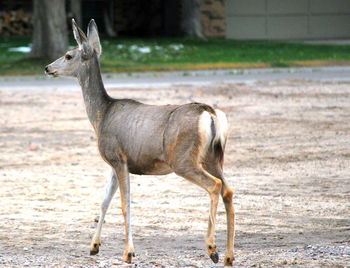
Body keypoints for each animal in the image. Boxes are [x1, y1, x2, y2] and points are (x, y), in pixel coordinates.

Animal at [44, 19, 235, 266]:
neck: (102, 115)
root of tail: (210, 113)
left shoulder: (118, 158)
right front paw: (94, 247)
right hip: (214, 157)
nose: (47, 68)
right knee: (228, 190)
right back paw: (229, 256)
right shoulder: (115, 163)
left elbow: (125, 204)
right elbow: (104, 201)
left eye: (68, 55)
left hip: (183, 158)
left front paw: (128, 253)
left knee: (215, 186)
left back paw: (212, 249)